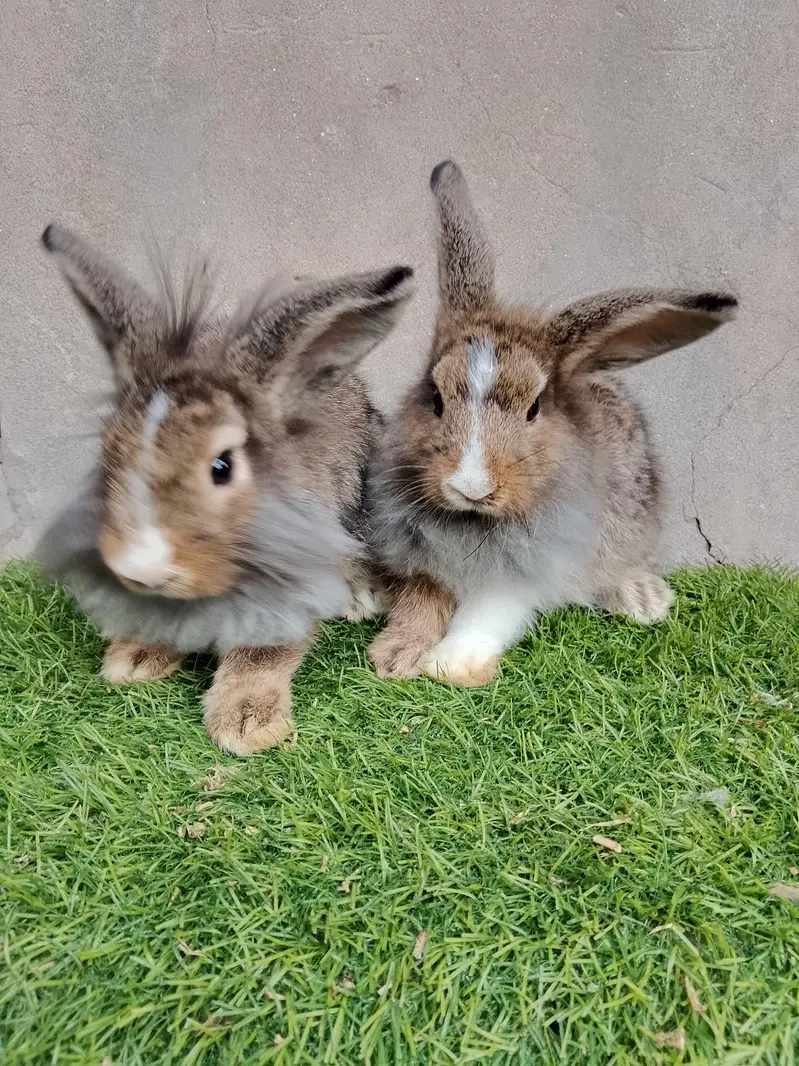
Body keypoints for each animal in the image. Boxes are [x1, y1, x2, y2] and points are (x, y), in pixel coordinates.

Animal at [37, 223, 414, 753]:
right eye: (109, 448)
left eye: (222, 466)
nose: (139, 562)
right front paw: (132, 659)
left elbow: (263, 651)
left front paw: (247, 721)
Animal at [366, 160, 737, 688]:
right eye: (434, 397)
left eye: (535, 407)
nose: (471, 486)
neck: (473, 521)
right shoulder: (421, 560)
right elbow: (421, 604)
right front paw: (397, 657)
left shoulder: (527, 571)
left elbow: (486, 614)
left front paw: (450, 664)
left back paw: (643, 599)